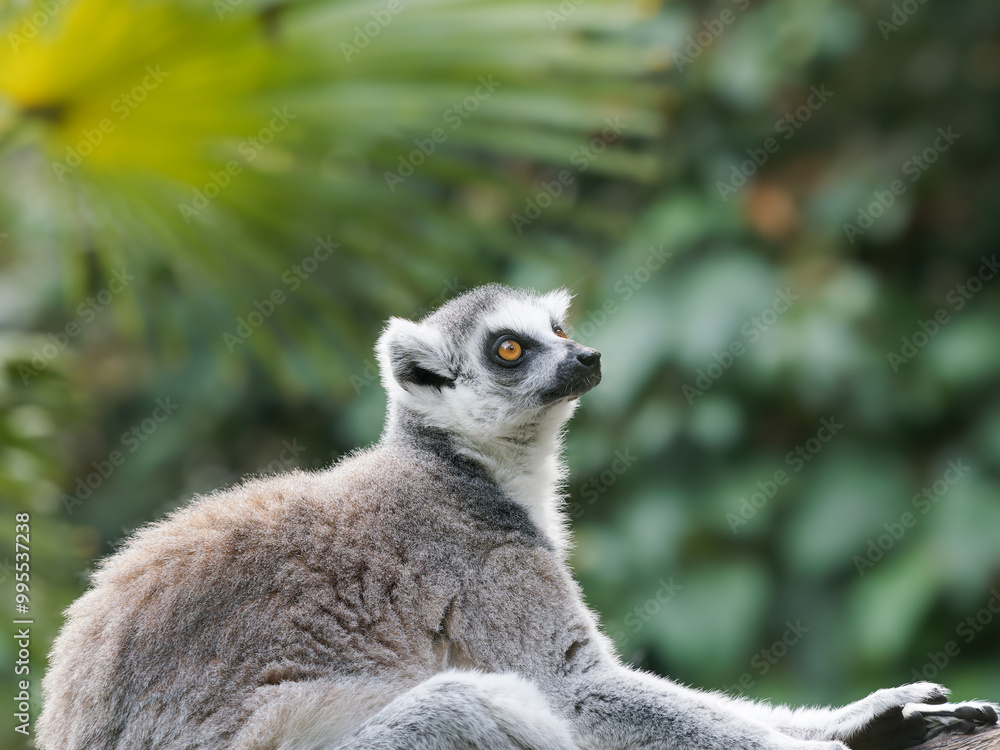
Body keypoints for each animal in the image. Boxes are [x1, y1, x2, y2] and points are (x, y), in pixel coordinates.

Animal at [37, 283, 998, 749]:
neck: (468, 469)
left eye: (558, 329)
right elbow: (574, 687)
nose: (590, 356)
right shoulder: (480, 563)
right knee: (470, 705)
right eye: (509, 348)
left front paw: (862, 720)